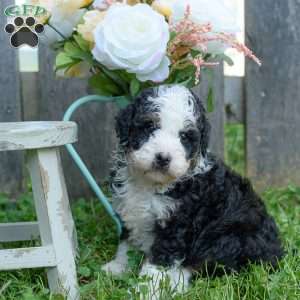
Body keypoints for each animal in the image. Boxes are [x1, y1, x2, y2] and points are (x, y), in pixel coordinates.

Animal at [102, 84, 282, 298]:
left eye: (184, 137)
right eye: (150, 126)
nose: (163, 158)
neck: (150, 184)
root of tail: (277, 252)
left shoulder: (177, 225)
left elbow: (158, 264)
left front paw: (144, 291)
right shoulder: (129, 210)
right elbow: (126, 243)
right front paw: (118, 266)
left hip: (229, 237)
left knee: (204, 266)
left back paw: (176, 284)